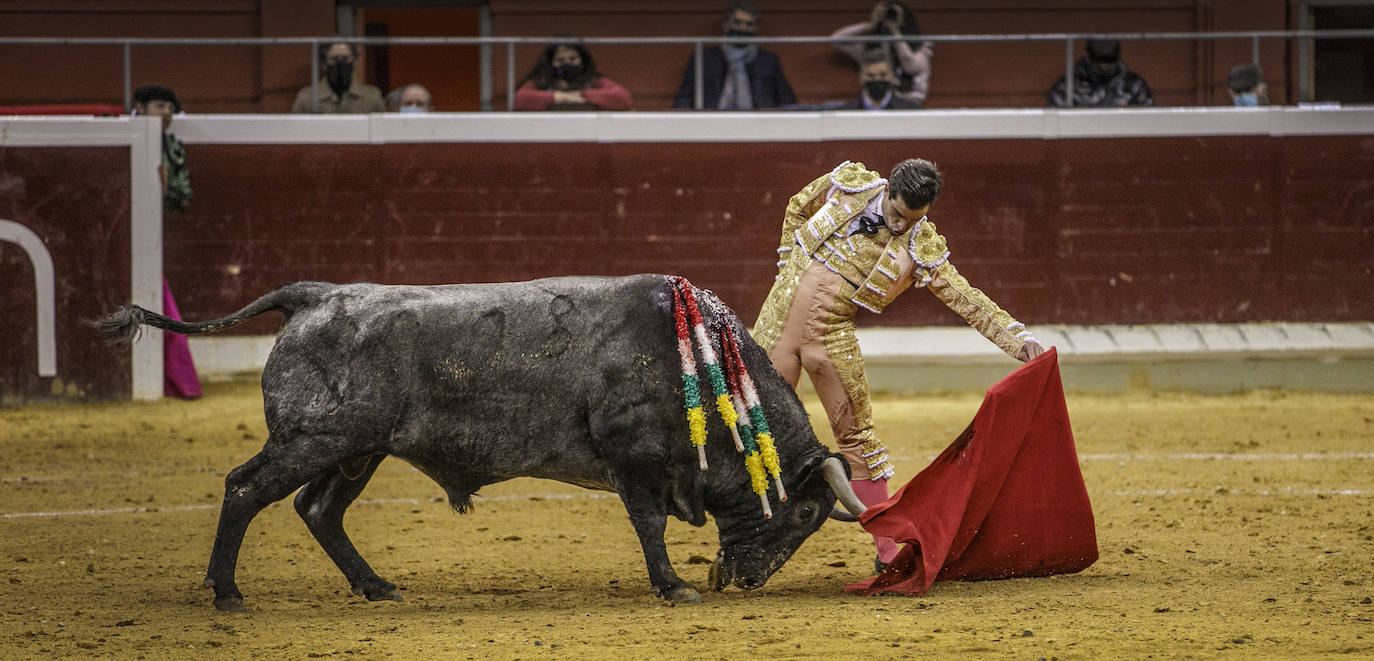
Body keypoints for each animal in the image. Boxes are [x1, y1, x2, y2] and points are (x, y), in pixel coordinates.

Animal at [99, 274, 868, 612]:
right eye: (805, 512)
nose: (750, 579)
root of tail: (315, 296)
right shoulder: (635, 459)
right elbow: (649, 524)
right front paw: (674, 585)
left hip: (356, 451)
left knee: (318, 510)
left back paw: (373, 584)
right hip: (313, 437)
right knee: (245, 487)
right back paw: (227, 592)